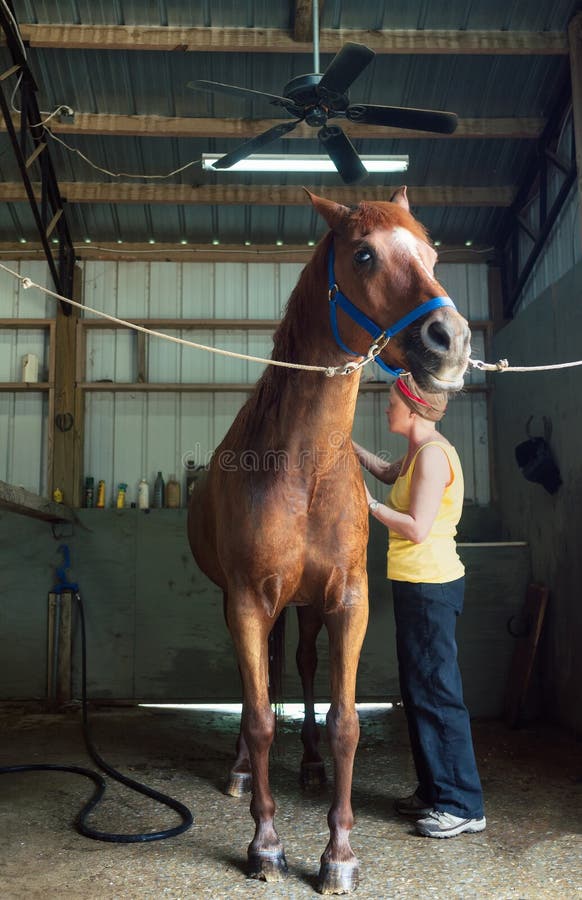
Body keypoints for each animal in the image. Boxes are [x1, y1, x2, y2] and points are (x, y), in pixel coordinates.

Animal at [189, 188, 472, 892]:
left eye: (433, 254)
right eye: (364, 253)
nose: (451, 340)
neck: (304, 468)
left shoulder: (347, 602)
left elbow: (346, 723)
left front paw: (338, 854)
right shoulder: (247, 600)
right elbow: (260, 716)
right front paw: (265, 845)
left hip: (308, 608)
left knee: (303, 666)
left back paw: (312, 765)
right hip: (255, 606)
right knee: (259, 680)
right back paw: (240, 771)